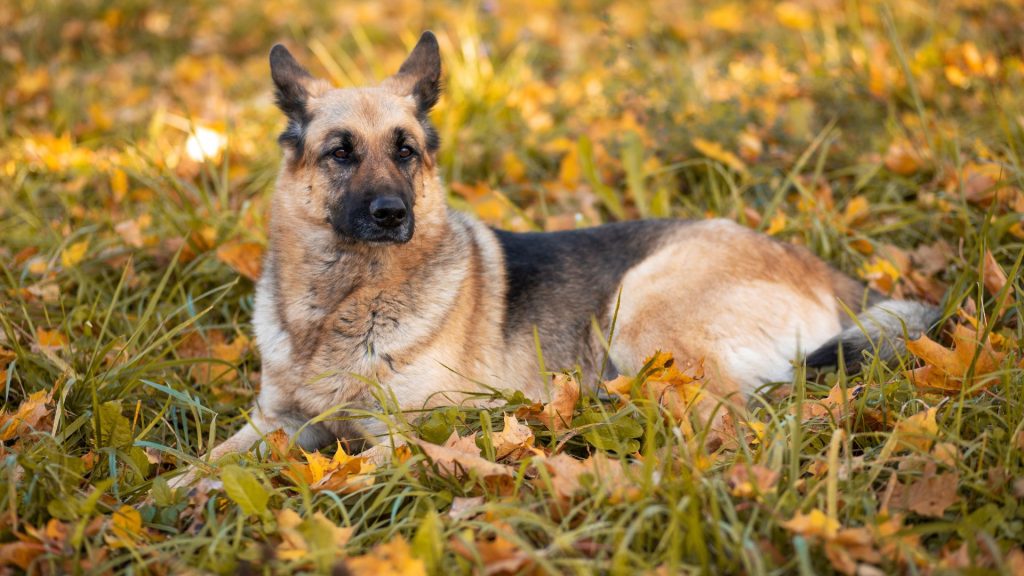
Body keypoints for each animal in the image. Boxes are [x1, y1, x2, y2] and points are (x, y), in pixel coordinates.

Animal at [167, 29, 937, 481]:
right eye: (340, 153)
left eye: (405, 151)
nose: (393, 215)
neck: (342, 300)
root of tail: (818, 268)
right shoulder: (273, 423)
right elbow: (205, 463)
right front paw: (171, 499)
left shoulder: (418, 431)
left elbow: (317, 475)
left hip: (641, 311)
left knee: (732, 422)